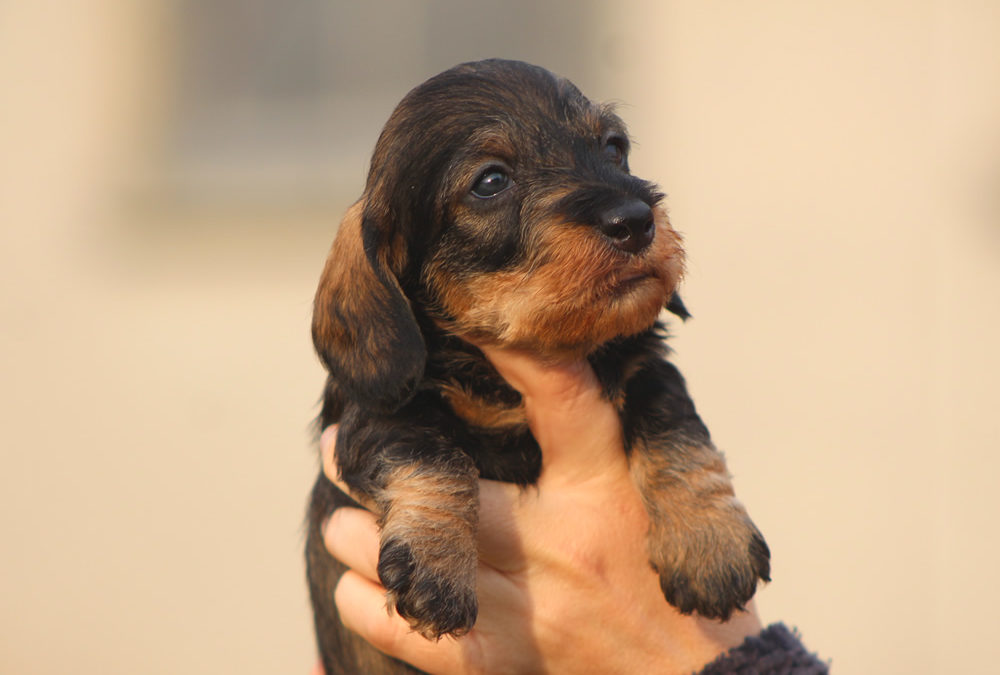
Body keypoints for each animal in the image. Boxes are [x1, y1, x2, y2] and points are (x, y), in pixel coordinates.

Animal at [308, 59, 768, 675]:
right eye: (491, 181)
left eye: (614, 147)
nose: (635, 220)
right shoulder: (376, 416)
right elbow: (434, 455)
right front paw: (435, 564)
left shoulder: (647, 369)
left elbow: (676, 429)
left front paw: (711, 544)